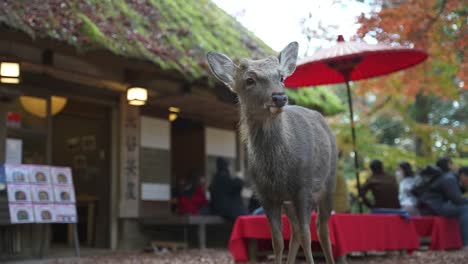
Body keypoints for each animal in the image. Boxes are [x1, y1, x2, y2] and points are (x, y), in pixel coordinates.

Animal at [206, 42, 336, 262]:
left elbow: (307, 235)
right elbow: (277, 241)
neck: (278, 170)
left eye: (281, 77)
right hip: (288, 202)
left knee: (321, 229)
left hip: (328, 183)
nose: (279, 97)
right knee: (295, 232)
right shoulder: (266, 194)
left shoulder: (303, 187)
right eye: (249, 80)